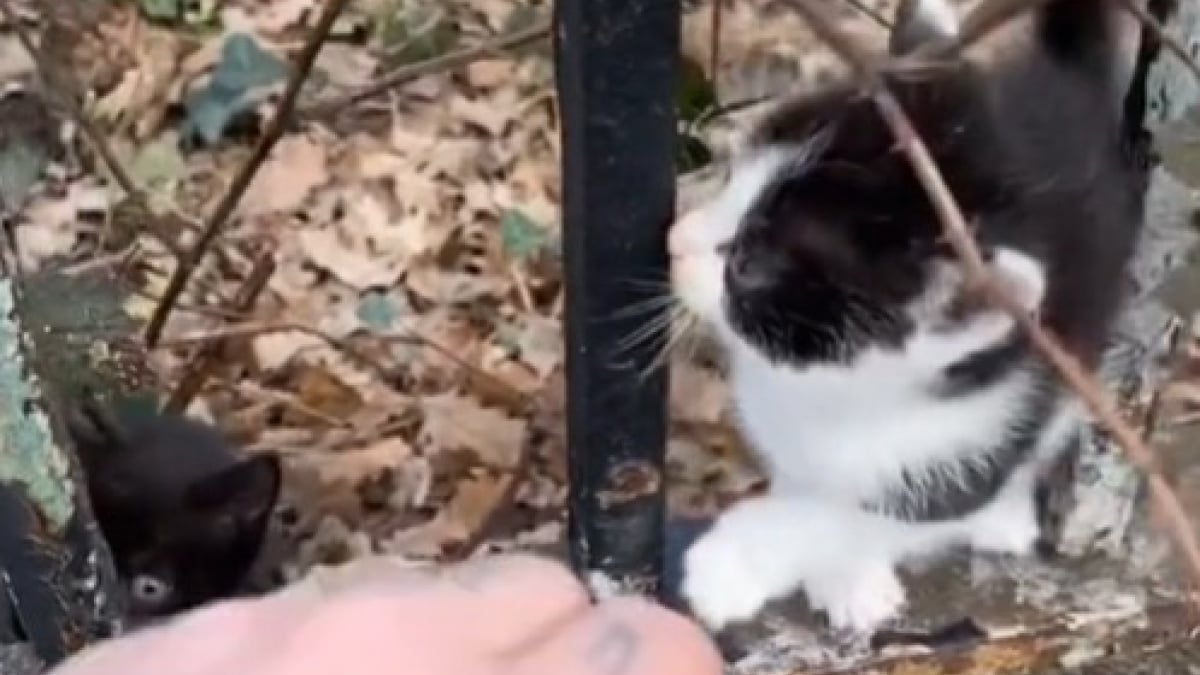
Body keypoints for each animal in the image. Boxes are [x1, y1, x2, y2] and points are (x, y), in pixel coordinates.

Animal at [672, 0, 1147, 629]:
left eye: (747, 264)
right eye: (728, 180)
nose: (674, 240)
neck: (830, 395)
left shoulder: (969, 440)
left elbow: (858, 516)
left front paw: (733, 565)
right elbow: (803, 480)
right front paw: (842, 574)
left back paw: (1007, 514)